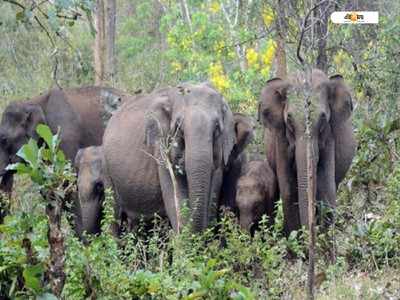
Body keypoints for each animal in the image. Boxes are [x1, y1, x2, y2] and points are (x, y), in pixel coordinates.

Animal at [103, 82, 244, 232]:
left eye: (217, 128)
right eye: (179, 128)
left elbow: (212, 193)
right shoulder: (161, 147)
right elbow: (174, 195)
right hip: (106, 168)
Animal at [260, 69, 356, 233]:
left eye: (323, 118)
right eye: (289, 119)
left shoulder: (329, 135)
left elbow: (325, 188)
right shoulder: (281, 139)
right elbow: (289, 191)